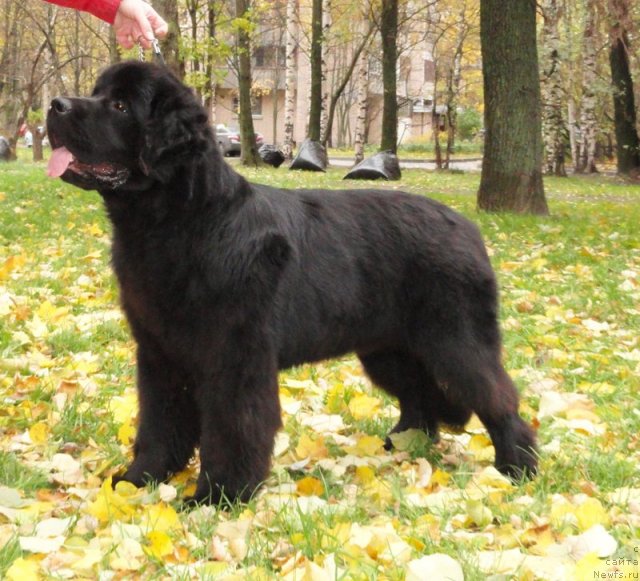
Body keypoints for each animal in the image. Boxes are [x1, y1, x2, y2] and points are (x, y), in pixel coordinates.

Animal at [46, 60, 536, 502]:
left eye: (121, 105)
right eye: (98, 92)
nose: (55, 104)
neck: (178, 223)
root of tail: (470, 229)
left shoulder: (235, 356)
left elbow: (233, 426)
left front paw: (218, 496)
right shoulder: (159, 352)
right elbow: (159, 422)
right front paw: (136, 482)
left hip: (455, 340)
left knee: (497, 397)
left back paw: (517, 469)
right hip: (387, 348)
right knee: (418, 395)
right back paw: (401, 445)